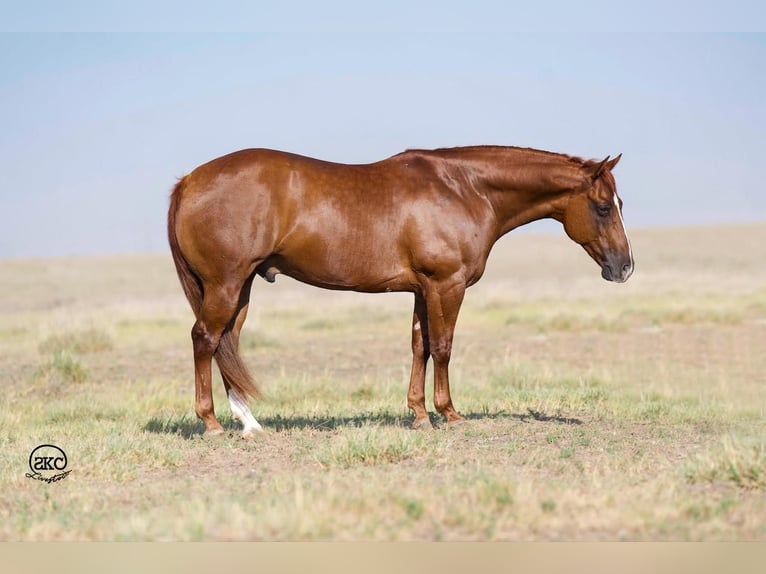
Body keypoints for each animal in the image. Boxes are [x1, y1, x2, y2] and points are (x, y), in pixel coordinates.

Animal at [170, 146, 636, 438]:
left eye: (619, 204)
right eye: (602, 206)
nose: (625, 267)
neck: (463, 188)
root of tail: (189, 180)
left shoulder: (421, 290)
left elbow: (420, 346)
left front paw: (418, 414)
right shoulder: (446, 285)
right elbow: (443, 346)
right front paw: (450, 414)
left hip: (242, 287)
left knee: (227, 343)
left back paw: (249, 423)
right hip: (226, 284)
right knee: (205, 339)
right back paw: (211, 424)